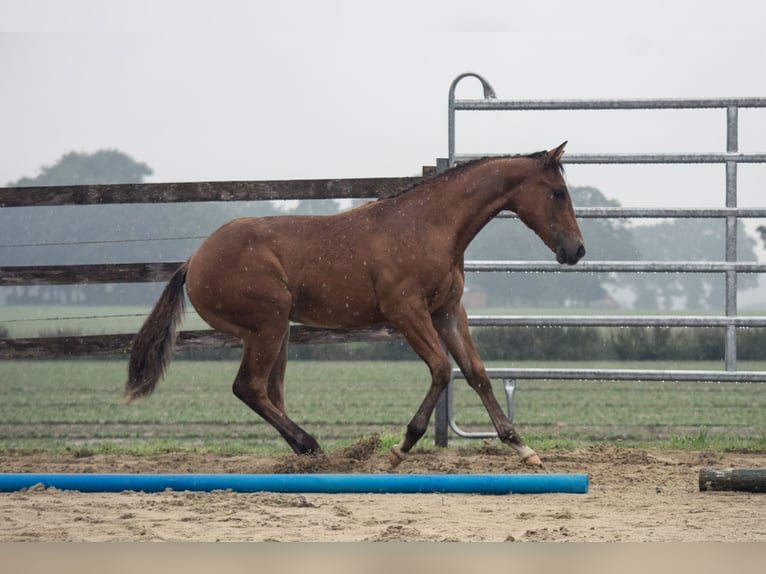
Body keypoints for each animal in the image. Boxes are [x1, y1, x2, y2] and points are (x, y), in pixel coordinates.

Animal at [126, 143, 584, 468]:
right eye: (558, 193)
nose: (576, 250)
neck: (430, 225)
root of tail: (193, 261)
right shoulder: (406, 311)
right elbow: (441, 369)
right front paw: (401, 447)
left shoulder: (448, 311)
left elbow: (476, 372)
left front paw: (522, 447)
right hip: (267, 324)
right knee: (250, 387)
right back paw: (312, 446)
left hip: (276, 331)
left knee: (270, 391)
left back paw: (306, 453)